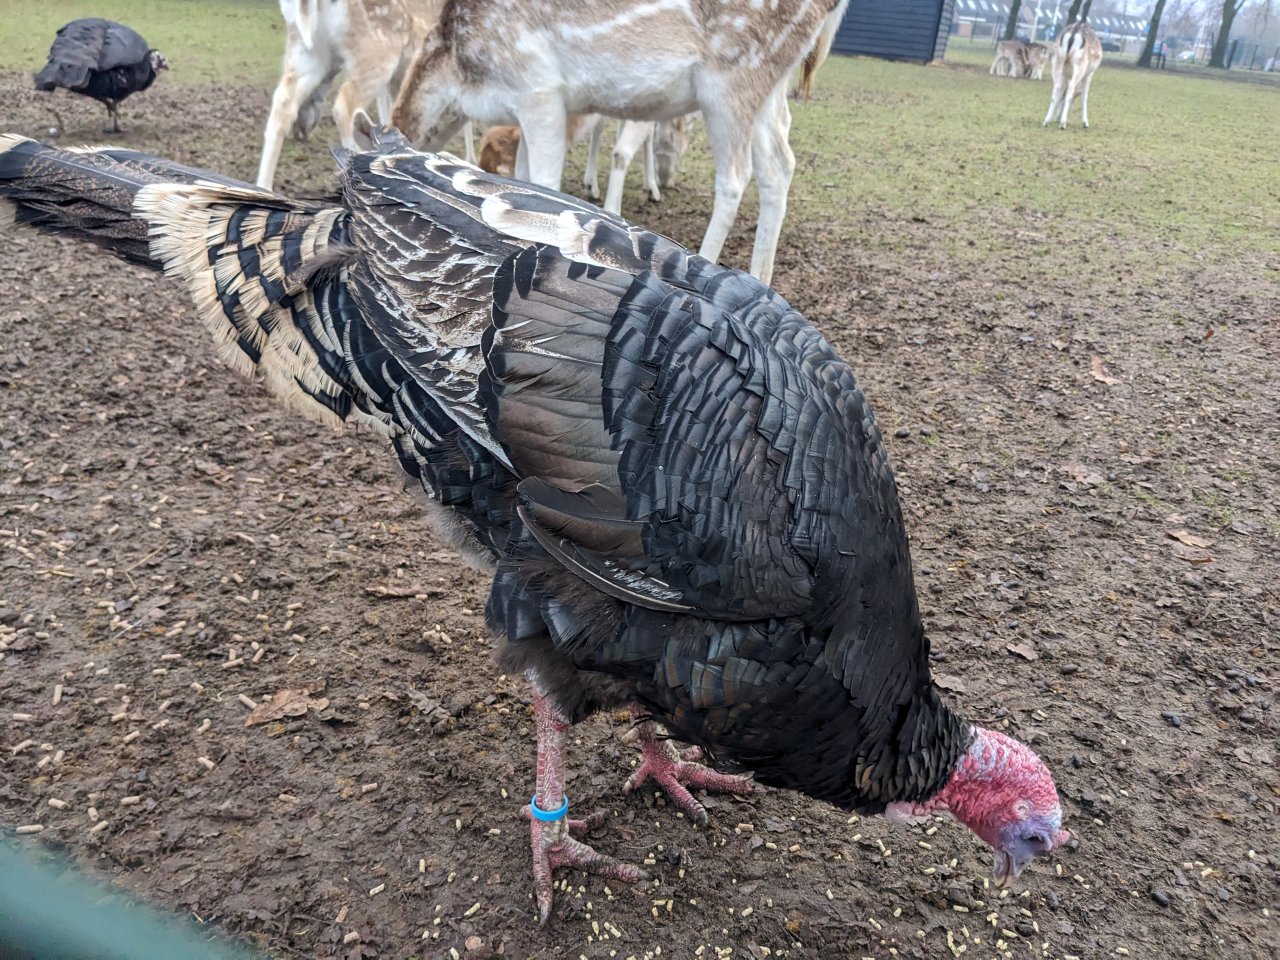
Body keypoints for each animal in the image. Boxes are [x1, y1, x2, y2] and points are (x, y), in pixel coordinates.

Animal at [256, 0, 476, 190]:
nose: (302, 131)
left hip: (306, 48)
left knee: (282, 102)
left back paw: (264, 188)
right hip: (377, 46)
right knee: (344, 106)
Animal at [389, 0, 849, 285]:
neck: (462, 75)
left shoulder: (539, 89)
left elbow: (544, 181)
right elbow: (520, 174)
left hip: (731, 79)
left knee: (736, 177)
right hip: (770, 88)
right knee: (779, 163)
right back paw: (761, 276)